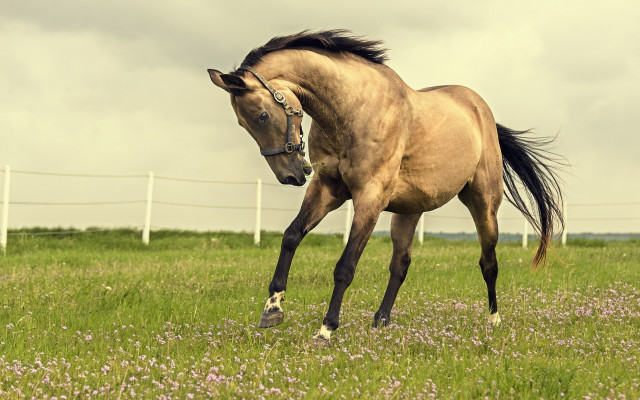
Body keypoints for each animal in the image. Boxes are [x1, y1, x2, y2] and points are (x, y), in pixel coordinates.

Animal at [207, 30, 564, 343]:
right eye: (243, 122)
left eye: (263, 115)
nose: (291, 175)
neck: (352, 110)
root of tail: (483, 114)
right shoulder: (326, 189)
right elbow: (292, 236)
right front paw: (272, 308)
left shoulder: (369, 199)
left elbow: (345, 267)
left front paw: (325, 330)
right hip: (408, 212)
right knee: (400, 265)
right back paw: (381, 321)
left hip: (483, 205)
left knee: (488, 263)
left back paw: (494, 321)